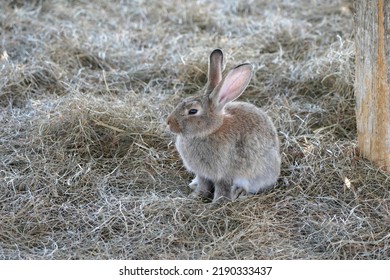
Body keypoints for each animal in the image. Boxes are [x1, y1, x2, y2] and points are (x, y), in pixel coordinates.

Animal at [165, 49, 280, 202]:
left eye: (193, 111)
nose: (169, 122)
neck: (210, 131)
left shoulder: (224, 174)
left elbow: (222, 188)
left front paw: (217, 202)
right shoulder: (202, 173)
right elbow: (203, 184)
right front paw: (196, 196)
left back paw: (239, 192)